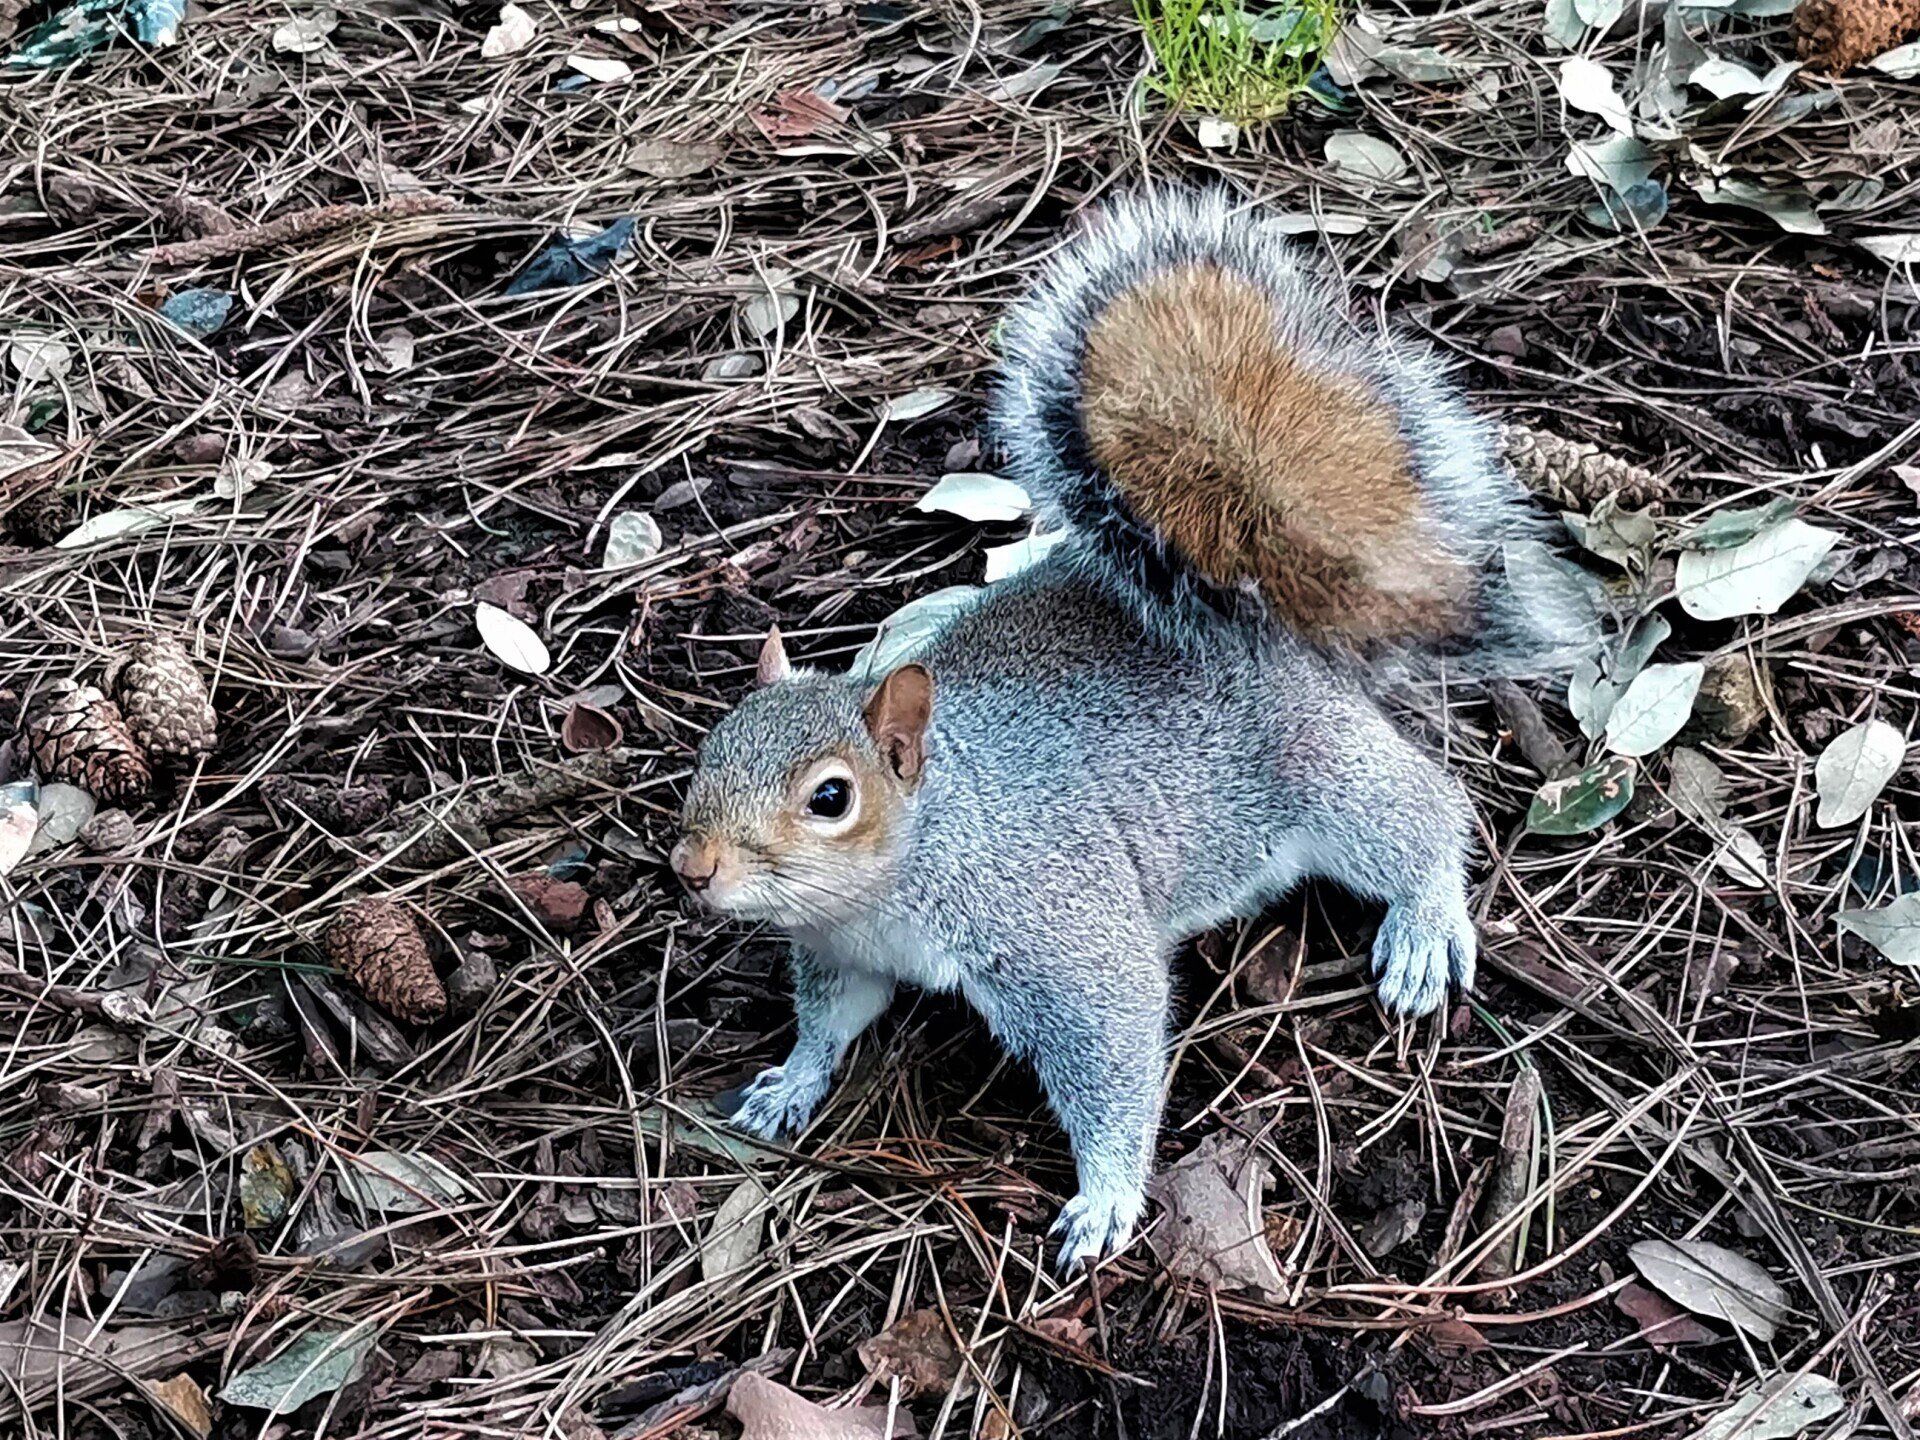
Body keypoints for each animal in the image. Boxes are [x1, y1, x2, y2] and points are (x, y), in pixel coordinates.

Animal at [671, 190, 1580, 1270]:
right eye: (711, 751)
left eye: (831, 798)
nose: (692, 868)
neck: (906, 868)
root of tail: (1269, 622)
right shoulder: (844, 952)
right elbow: (831, 1021)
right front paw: (793, 1080)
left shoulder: (1052, 923)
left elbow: (1115, 1040)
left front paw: (1104, 1200)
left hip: (1321, 774)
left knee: (1422, 814)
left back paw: (1424, 928)